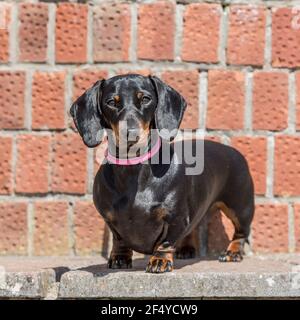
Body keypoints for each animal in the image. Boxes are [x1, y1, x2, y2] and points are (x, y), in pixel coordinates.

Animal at [69, 74, 253, 272]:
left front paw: (160, 260)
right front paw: (120, 258)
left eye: (145, 99)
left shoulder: (175, 217)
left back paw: (233, 252)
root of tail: (232, 150)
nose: (131, 135)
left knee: (241, 232)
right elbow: (119, 239)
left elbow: (166, 241)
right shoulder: (110, 219)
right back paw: (186, 248)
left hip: (240, 207)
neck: (133, 170)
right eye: (111, 102)